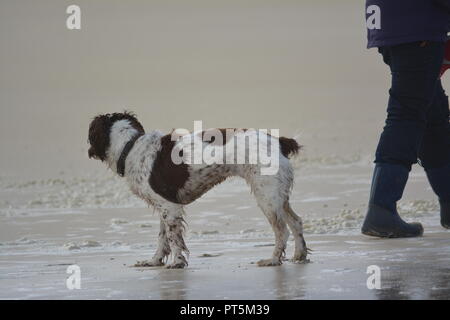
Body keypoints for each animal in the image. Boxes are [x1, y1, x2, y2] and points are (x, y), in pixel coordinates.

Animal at [86, 112, 308, 268]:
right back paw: (300, 255)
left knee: (282, 231)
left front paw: (177, 262)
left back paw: (273, 260)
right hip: (277, 195)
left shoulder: (170, 208)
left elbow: (174, 239)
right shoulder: (164, 206)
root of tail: (278, 140)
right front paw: (154, 261)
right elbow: (162, 238)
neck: (131, 147)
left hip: (266, 196)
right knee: (296, 222)